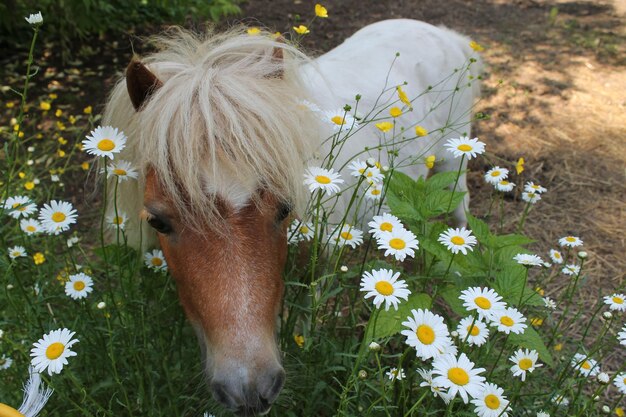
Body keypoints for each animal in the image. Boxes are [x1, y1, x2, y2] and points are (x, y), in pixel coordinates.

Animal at [105, 18, 480, 412]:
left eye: (284, 208)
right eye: (158, 221)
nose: (249, 390)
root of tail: (444, 34)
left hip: (454, 160)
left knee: (459, 213)